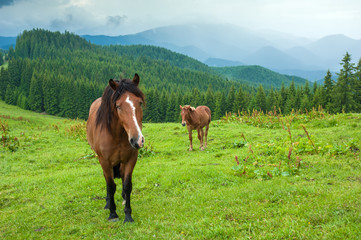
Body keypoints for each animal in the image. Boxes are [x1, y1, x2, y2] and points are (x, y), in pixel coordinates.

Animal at [86, 73, 144, 223]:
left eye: (140, 103)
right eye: (118, 106)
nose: (137, 140)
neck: (116, 135)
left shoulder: (131, 159)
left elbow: (127, 185)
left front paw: (128, 215)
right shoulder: (105, 161)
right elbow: (111, 186)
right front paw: (113, 213)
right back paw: (108, 203)